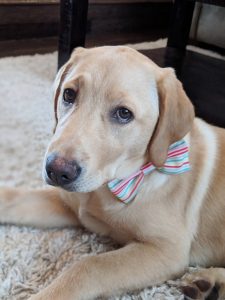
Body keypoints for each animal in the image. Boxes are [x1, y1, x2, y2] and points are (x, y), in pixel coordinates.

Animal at [0, 45, 225, 300]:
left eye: (124, 113)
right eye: (69, 95)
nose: (57, 171)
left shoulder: (166, 250)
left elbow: (89, 266)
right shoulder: (68, 204)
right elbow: (13, 198)